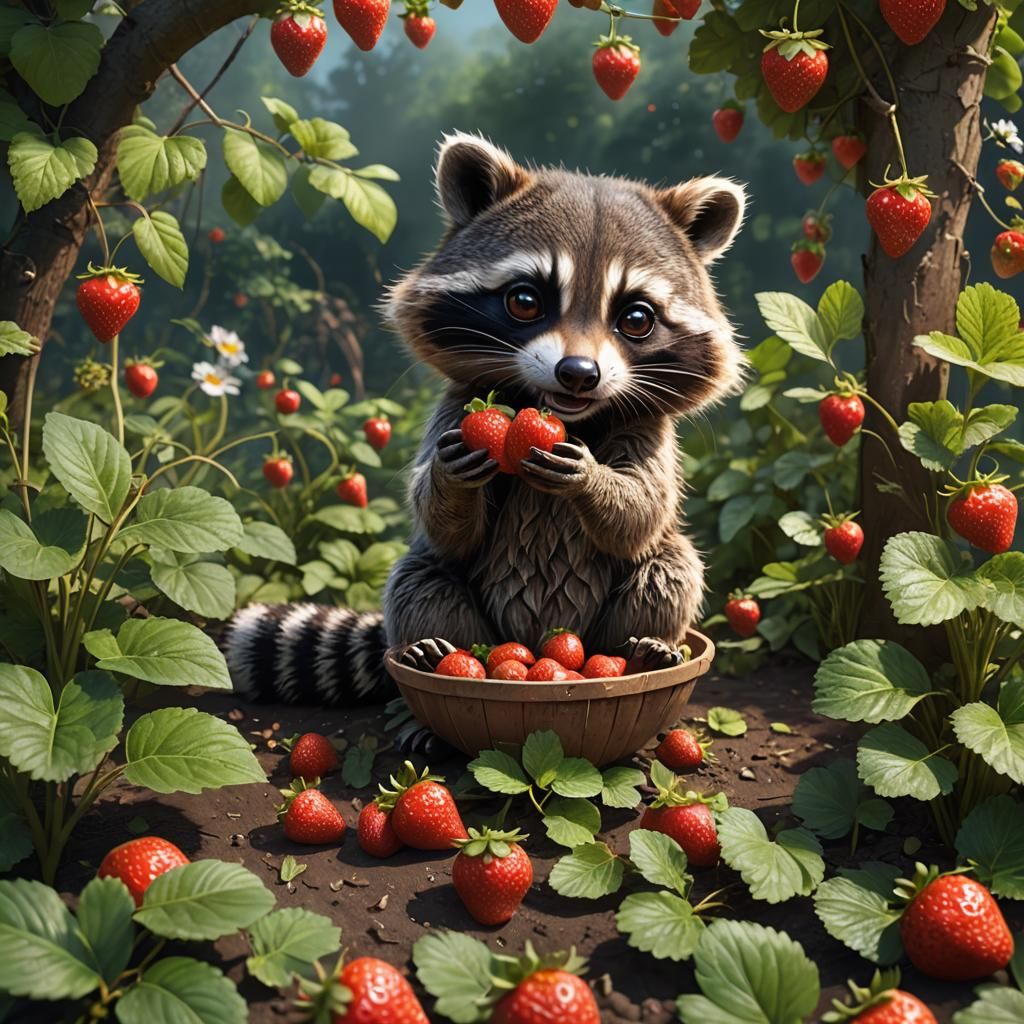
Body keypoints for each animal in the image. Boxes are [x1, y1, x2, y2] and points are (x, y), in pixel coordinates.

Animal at [225, 133, 746, 708]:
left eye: (636, 318)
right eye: (525, 301)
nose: (579, 374)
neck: (561, 413)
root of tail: (530, 640)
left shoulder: (648, 428)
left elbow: (641, 514)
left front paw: (591, 479)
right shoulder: (456, 408)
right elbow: (445, 524)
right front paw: (452, 480)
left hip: (610, 620)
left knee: (669, 567)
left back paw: (641, 650)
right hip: (462, 612)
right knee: (421, 578)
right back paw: (432, 650)